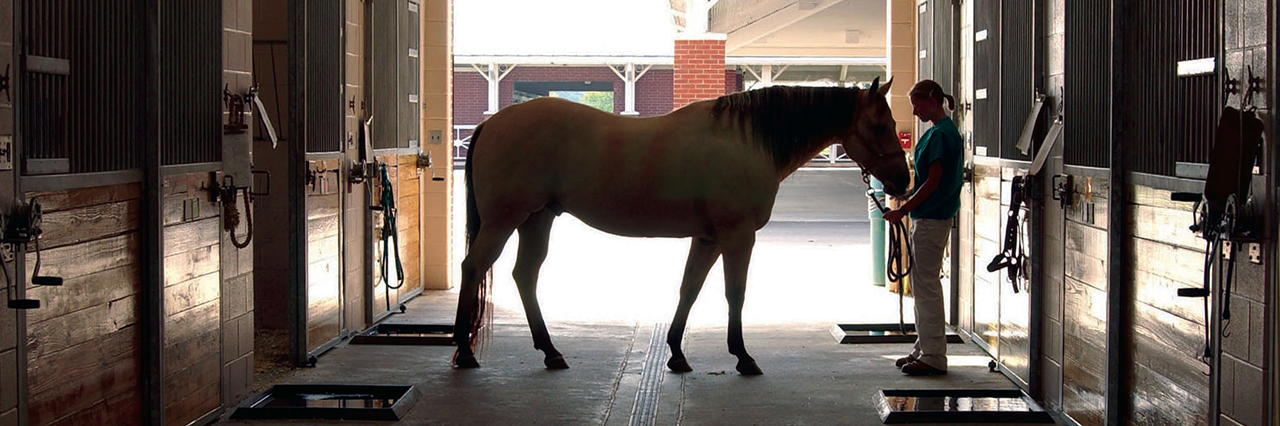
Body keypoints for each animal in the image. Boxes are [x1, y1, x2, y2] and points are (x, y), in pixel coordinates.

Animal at [450, 77, 911, 376]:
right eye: (880, 125)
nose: (902, 182)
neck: (746, 140)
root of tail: (492, 123)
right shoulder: (737, 236)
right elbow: (734, 293)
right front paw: (743, 357)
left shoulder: (707, 237)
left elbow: (689, 289)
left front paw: (676, 353)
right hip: (504, 220)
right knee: (473, 268)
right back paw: (464, 351)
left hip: (537, 219)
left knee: (524, 275)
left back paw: (550, 352)